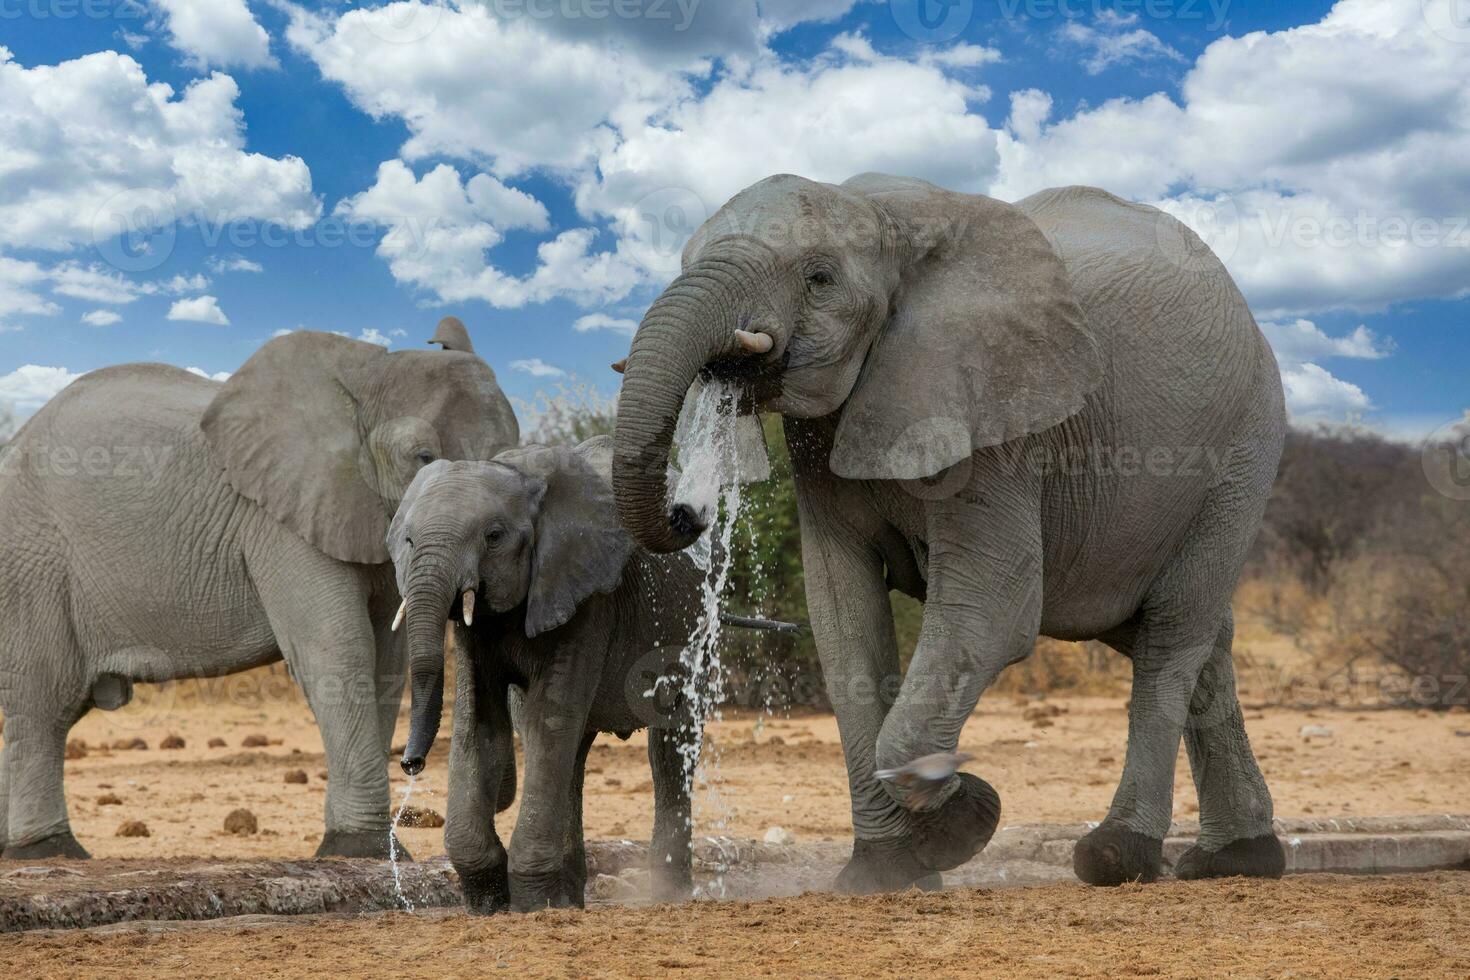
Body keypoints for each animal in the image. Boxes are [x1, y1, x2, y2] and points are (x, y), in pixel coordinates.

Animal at [0, 329, 517, 858]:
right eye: (423, 459)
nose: (414, 766)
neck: (367, 369)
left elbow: (388, 661)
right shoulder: (280, 520)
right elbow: (339, 650)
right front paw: (359, 849)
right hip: (32, 561)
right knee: (46, 699)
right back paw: (48, 850)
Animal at [385, 440, 705, 916]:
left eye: (493, 536)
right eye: (408, 540)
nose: (410, 764)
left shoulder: (586, 596)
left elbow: (546, 719)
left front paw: (532, 903)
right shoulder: (475, 634)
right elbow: (480, 725)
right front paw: (490, 901)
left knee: (668, 745)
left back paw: (669, 894)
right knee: (575, 755)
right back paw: (569, 898)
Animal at [608, 172, 1287, 893]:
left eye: (819, 277)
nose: (689, 511)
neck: (888, 223)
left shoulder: (993, 411)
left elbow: (993, 610)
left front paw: (963, 814)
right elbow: (843, 615)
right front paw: (886, 870)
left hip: (1242, 450)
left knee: (1171, 632)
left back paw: (1117, 856)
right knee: (1192, 633)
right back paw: (1236, 859)